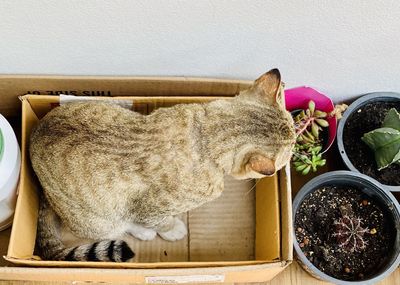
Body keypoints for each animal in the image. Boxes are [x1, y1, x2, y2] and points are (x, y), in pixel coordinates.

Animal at [29, 67, 296, 260]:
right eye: (291, 147)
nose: (296, 146)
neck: (205, 135)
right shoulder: (148, 208)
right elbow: (161, 221)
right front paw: (172, 229)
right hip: (97, 220)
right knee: (119, 226)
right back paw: (143, 232)